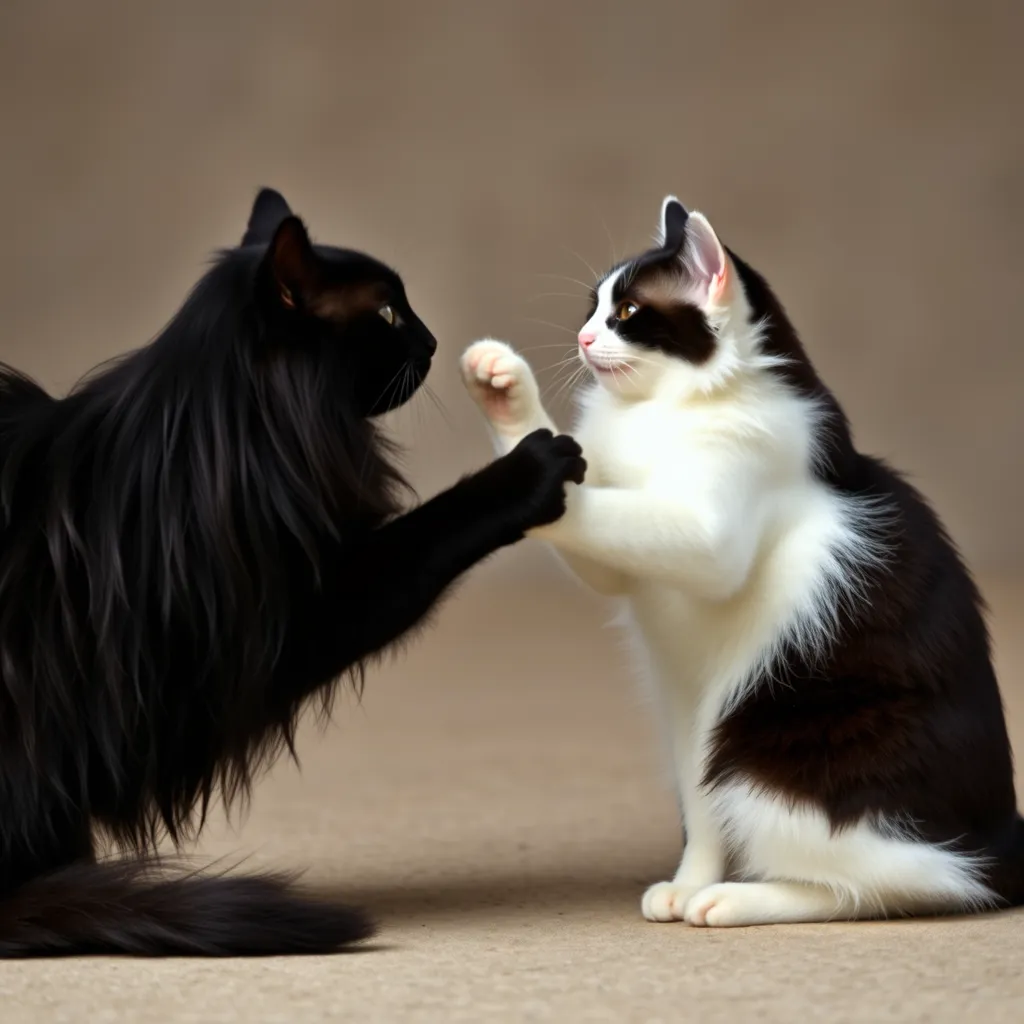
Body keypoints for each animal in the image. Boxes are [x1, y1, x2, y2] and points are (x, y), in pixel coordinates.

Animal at [0, 188, 585, 954]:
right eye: (388, 313)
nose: (431, 341)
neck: (223, 435)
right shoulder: (280, 624)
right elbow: (430, 531)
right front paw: (530, 468)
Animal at [462, 197, 1024, 929]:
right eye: (594, 306)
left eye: (627, 313)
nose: (583, 339)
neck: (662, 414)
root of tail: (1005, 839)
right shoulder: (682, 696)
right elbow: (700, 813)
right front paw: (505, 396)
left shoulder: (710, 533)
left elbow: (613, 512)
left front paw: (532, 467)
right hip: (717, 737)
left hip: (769, 758)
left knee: (908, 882)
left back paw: (740, 899)